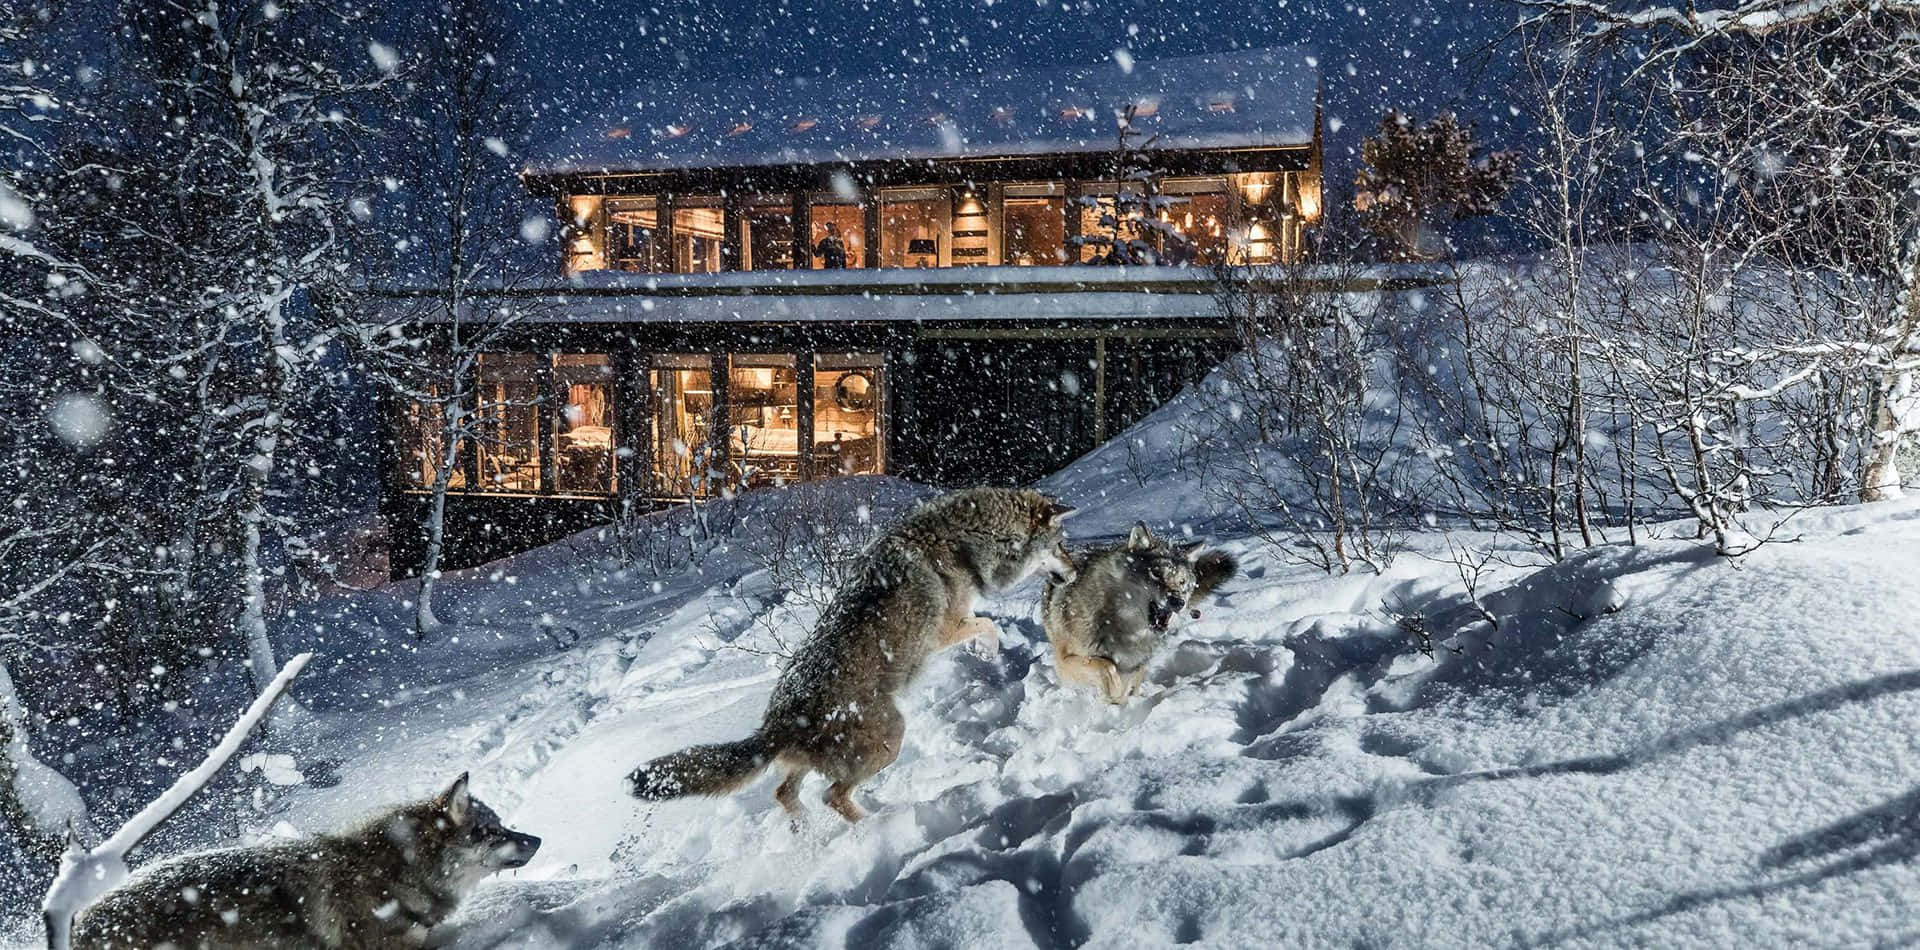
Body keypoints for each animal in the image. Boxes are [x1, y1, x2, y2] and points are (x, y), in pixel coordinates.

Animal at [633, 487, 1075, 821]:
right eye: (1062, 545)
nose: (1073, 573)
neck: (962, 538)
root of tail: (774, 726)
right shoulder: (947, 628)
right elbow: (989, 625)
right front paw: (989, 652)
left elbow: (988, 622)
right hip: (891, 738)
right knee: (832, 796)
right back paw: (873, 826)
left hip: (817, 763)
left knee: (785, 794)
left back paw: (807, 833)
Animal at [1044, 522, 1236, 706]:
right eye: (1156, 573)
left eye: (1182, 582)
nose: (1179, 602)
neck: (1122, 626)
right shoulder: (1064, 662)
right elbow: (1107, 666)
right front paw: (1114, 694)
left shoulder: (1134, 665)